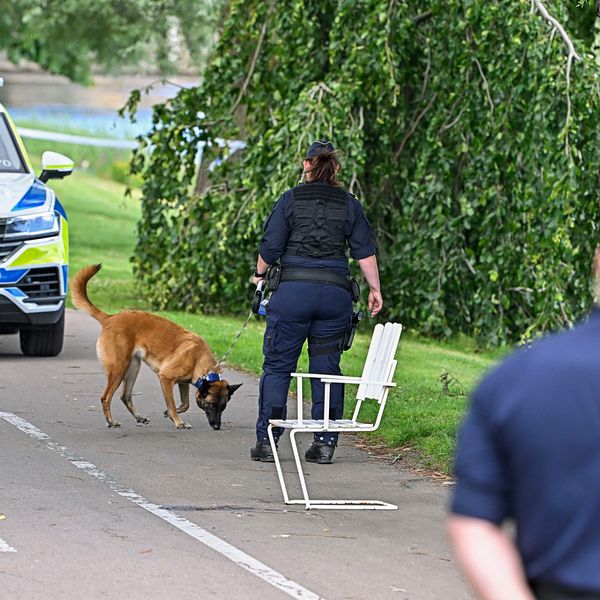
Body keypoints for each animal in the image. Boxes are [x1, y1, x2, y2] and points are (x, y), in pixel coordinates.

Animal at [73, 264, 244, 428]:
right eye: (211, 404)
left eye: (223, 407)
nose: (217, 426)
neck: (199, 358)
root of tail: (110, 318)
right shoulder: (166, 379)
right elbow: (172, 404)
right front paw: (178, 421)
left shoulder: (183, 383)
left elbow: (186, 404)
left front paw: (169, 414)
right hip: (119, 369)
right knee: (106, 397)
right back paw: (111, 421)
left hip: (133, 368)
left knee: (125, 396)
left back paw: (138, 417)